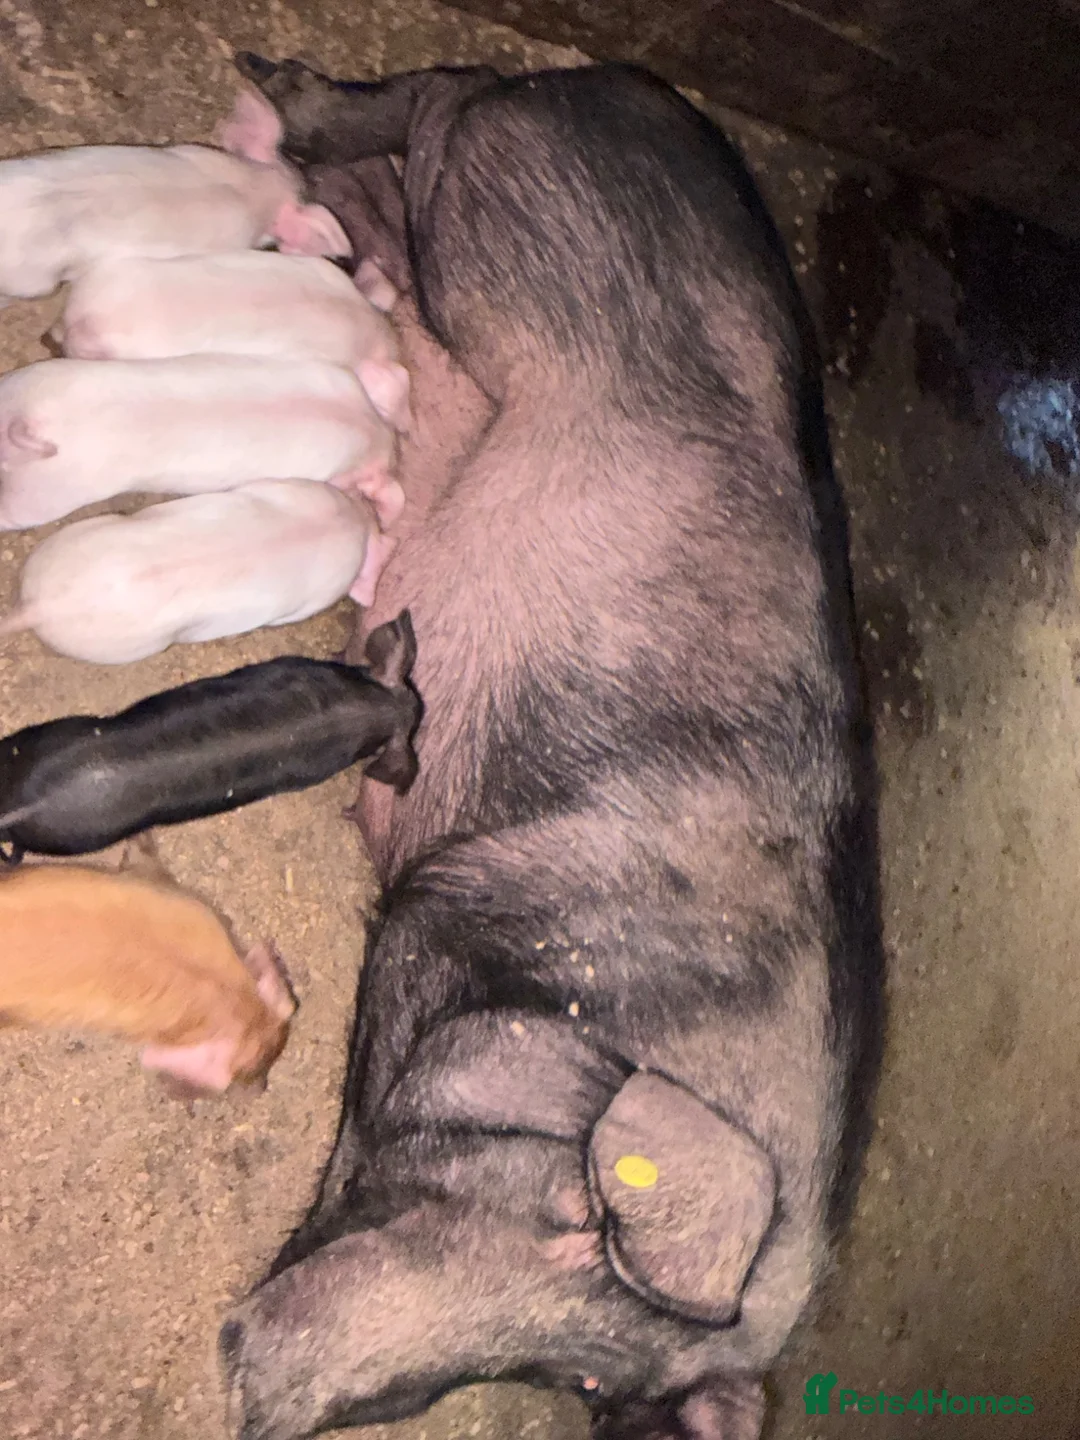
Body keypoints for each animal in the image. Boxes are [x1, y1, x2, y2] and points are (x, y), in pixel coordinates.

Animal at [218, 57, 884, 1440]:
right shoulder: (460, 898)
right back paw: (280, 104)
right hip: (503, 231)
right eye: (575, 1215)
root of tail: (621, 84)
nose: (256, 1394)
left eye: (576, 1376)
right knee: (435, 101)